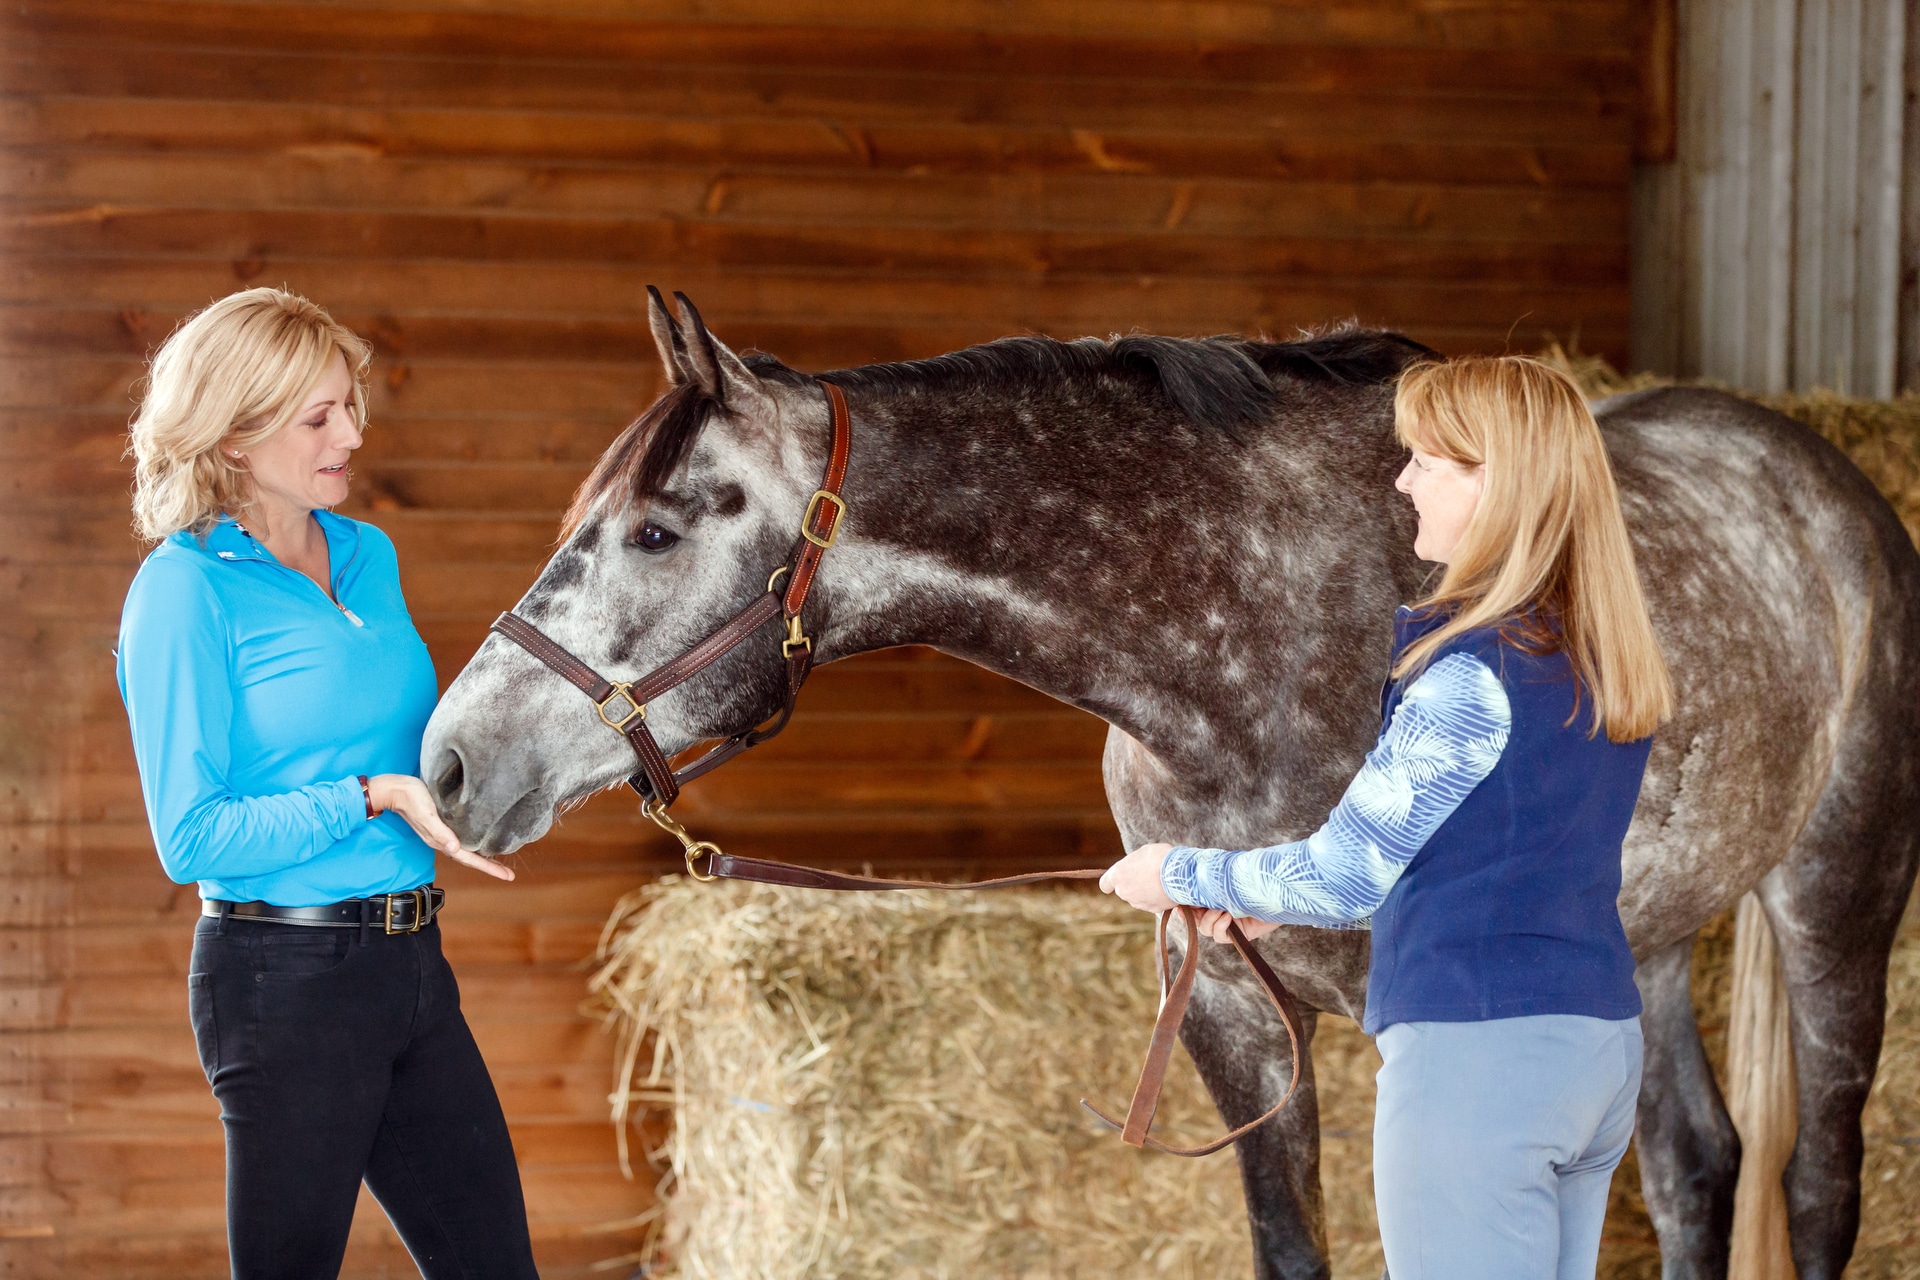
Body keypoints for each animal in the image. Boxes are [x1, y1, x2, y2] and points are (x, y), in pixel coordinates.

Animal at [420, 295, 1920, 1280]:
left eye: (657, 530)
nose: (450, 761)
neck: (1253, 626)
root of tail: (1823, 482)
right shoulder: (1225, 1010)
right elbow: (1289, 1246)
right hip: (1643, 939)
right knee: (1693, 1167)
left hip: (1837, 896)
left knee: (1815, 1181)